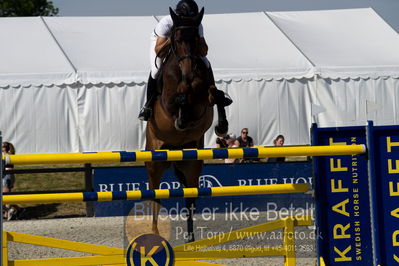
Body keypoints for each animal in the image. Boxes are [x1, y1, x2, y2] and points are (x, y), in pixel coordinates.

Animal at [146, 7, 228, 242]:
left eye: (196, 39)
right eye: (177, 39)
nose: (189, 70)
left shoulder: (204, 95)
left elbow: (215, 94)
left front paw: (222, 126)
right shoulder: (168, 103)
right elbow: (180, 99)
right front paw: (182, 119)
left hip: (192, 164)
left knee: (190, 198)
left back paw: (190, 237)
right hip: (154, 163)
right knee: (155, 199)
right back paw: (155, 234)